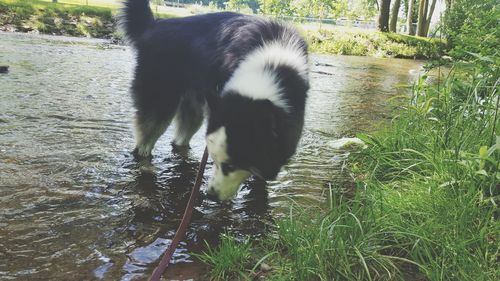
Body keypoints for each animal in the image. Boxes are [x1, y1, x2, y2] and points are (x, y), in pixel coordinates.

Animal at [121, 1, 308, 200]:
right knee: (144, 142)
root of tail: (153, 25)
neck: (268, 69)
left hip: (195, 108)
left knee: (180, 140)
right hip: (160, 101)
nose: (209, 195)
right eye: (215, 161)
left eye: (231, 166)